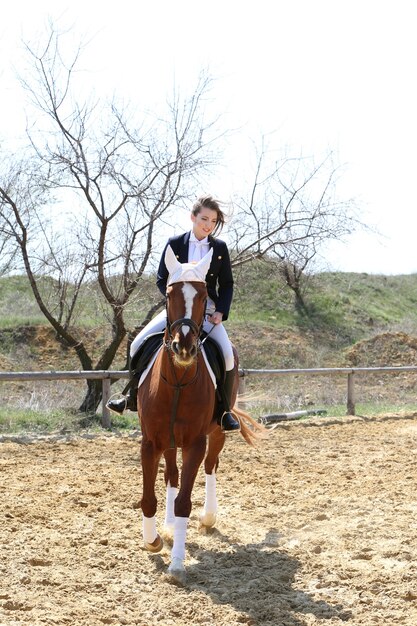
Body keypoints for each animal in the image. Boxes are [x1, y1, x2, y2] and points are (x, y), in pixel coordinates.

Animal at [138, 245, 264, 580]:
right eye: (170, 293)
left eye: (205, 293)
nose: (183, 348)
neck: (178, 382)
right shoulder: (150, 442)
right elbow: (149, 498)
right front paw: (154, 540)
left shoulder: (195, 442)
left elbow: (185, 502)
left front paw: (177, 563)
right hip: (169, 441)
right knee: (171, 474)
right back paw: (169, 527)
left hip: (217, 432)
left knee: (211, 466)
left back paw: (208, 517)